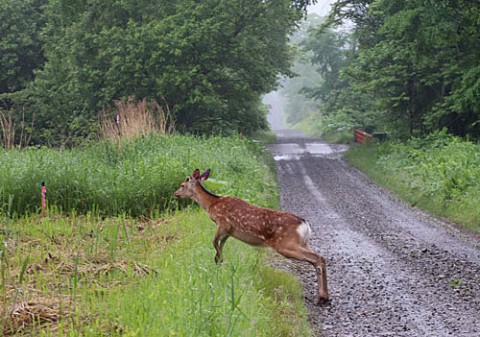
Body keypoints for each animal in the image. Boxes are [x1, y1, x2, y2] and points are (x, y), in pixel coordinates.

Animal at [174, 168, 332, 304]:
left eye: (182, 185)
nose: (175, 193)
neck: (211, 205)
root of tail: (305, 225)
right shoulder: (229, 231)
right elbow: (220, 244)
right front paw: (218, 260)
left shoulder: (223, 223)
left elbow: (213, 241)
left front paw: (219, 259)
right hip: (302, 243)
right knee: (318, 259)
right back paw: (324, 297)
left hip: (285, 243)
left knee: (318, 258)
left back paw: (322, 297)